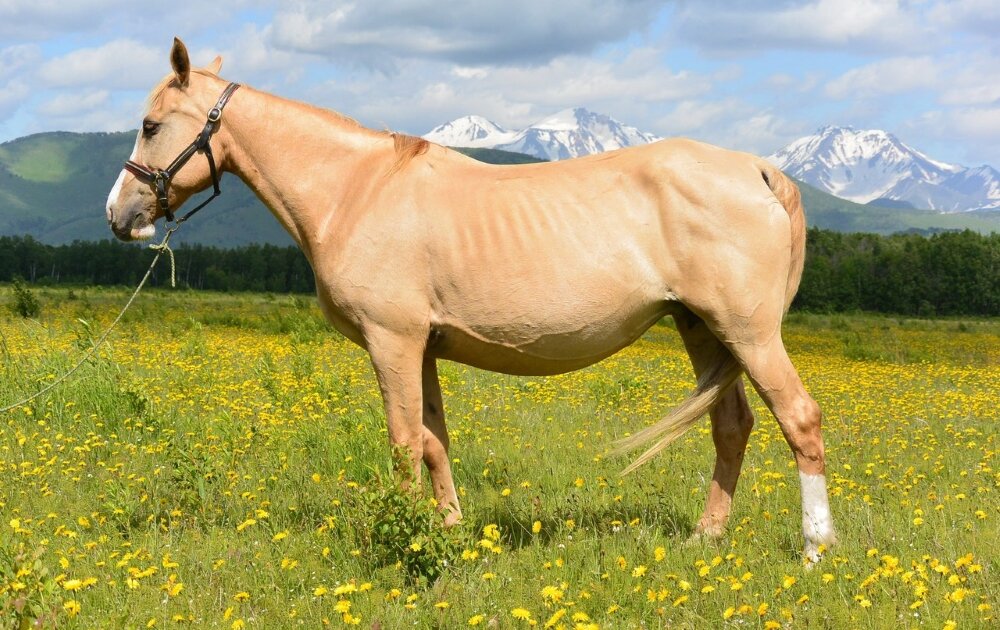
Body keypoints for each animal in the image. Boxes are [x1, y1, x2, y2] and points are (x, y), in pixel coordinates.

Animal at [105, 38, 836, 564]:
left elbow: (403, 443)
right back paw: (706, 539)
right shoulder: (423, 347)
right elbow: (435, 441)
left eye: (150, 124)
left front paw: (402, 537)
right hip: (702, 329)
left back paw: (815, 551)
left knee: (799, 420)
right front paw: (449, 532)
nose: (118, 214)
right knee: (732, 426)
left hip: (748, 334)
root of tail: (757, 169)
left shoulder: (392, 341)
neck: (354, 189)